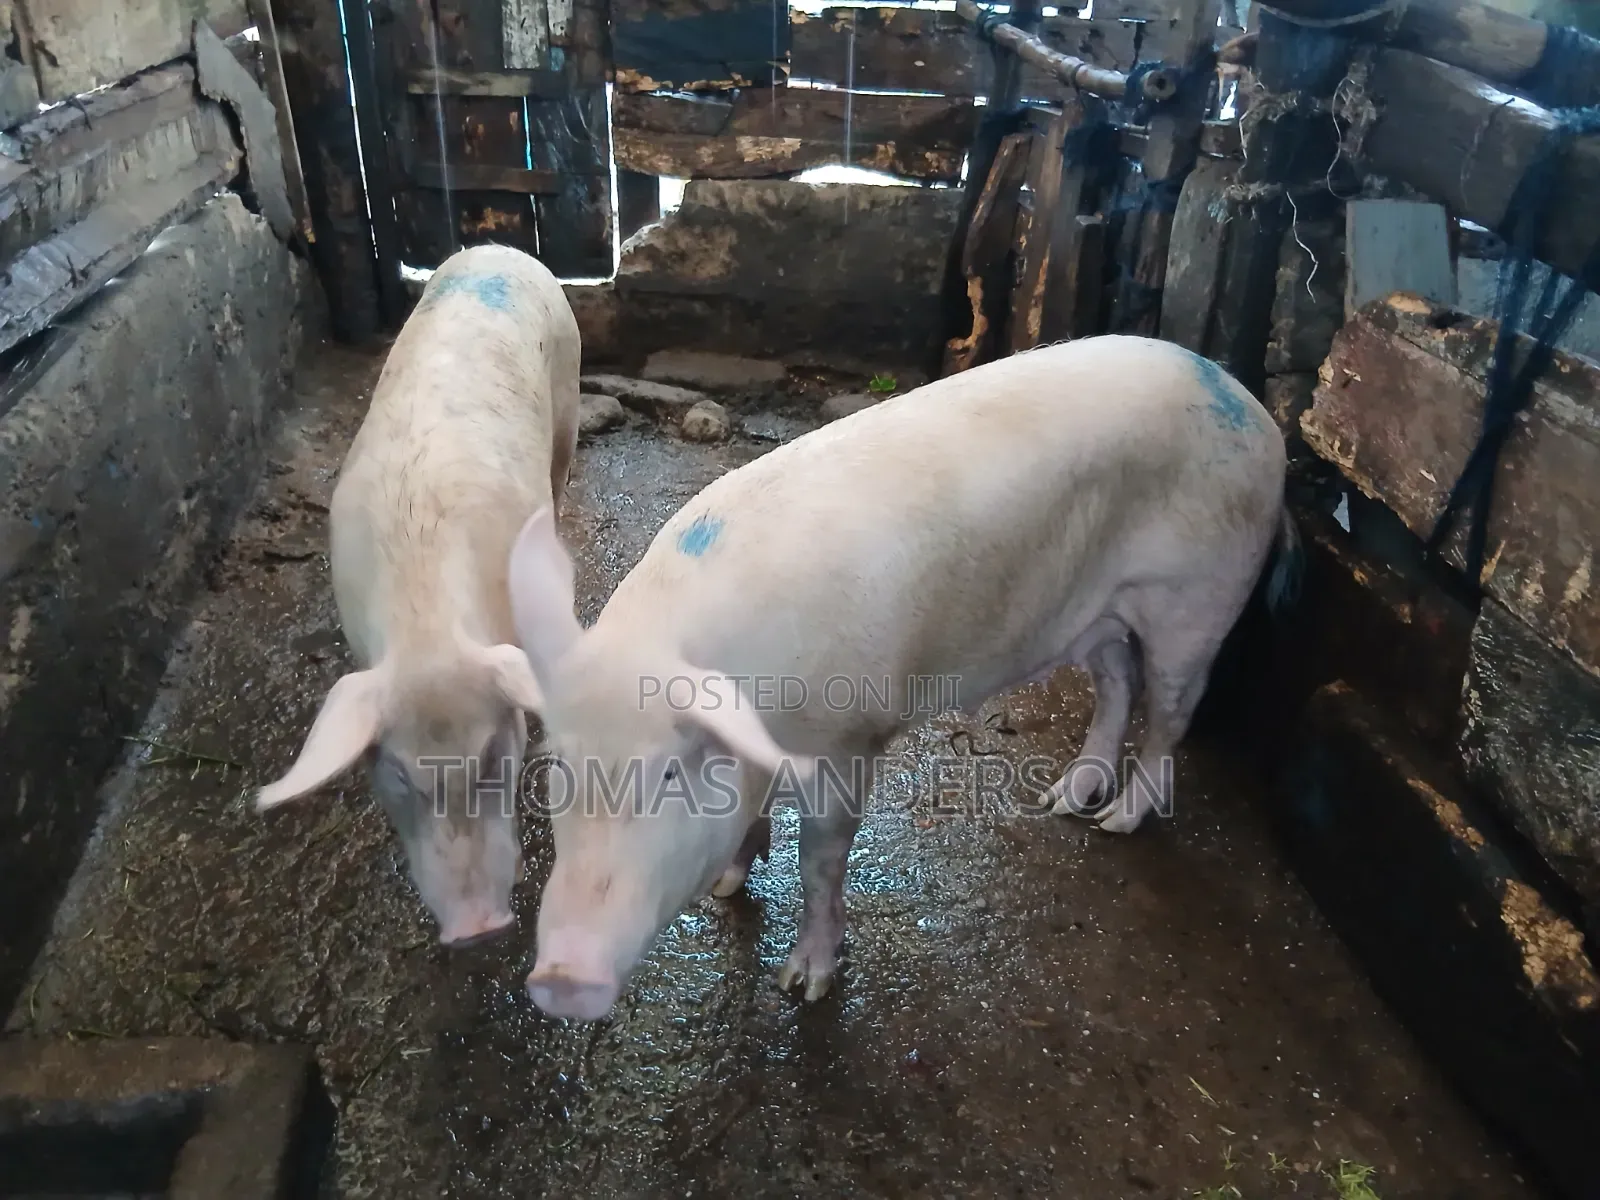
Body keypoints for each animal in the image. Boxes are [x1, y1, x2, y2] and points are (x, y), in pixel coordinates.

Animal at [254, 243, 580, 947]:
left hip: (568, 388)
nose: (476, 927)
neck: (425, 622)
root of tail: (497, 248)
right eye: (399, 772)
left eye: (493, 754)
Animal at [505, 335, 1300, 1019]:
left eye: (669, 774)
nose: (558, 976)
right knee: (1117, 682)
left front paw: (805, 985)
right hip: (1092, 610)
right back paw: (1064, 801)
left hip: (1201, 598)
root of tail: (1243, 397)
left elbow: (821, 861)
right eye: (560, 772)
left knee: (1171, 712)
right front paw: (728, 886)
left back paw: (1117, 821)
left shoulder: (848, 741)